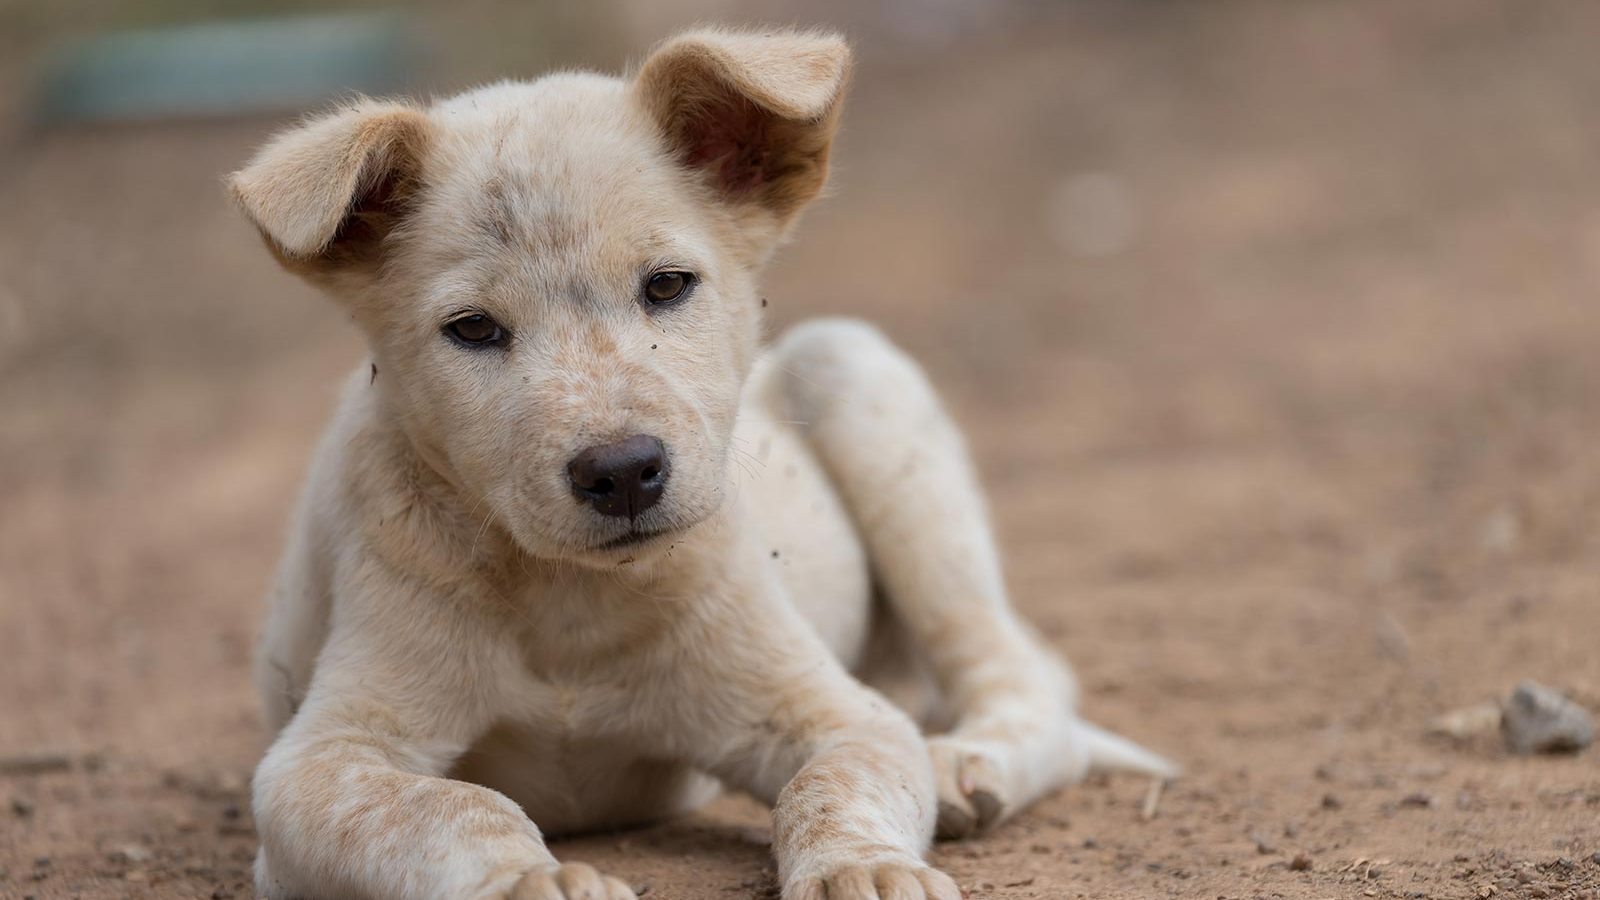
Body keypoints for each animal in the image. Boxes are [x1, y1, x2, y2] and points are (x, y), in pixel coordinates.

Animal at [228, 26, 1177, 896]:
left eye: (667, 285)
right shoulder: (319, 762)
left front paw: (864, 869)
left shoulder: (827, 710)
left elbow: (832, 785)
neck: (572, 602)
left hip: (858, 376)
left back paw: (963, 765)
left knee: (1023, 678)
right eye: (472, 329)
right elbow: (449, 806)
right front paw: (537, 880)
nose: (621, 471)